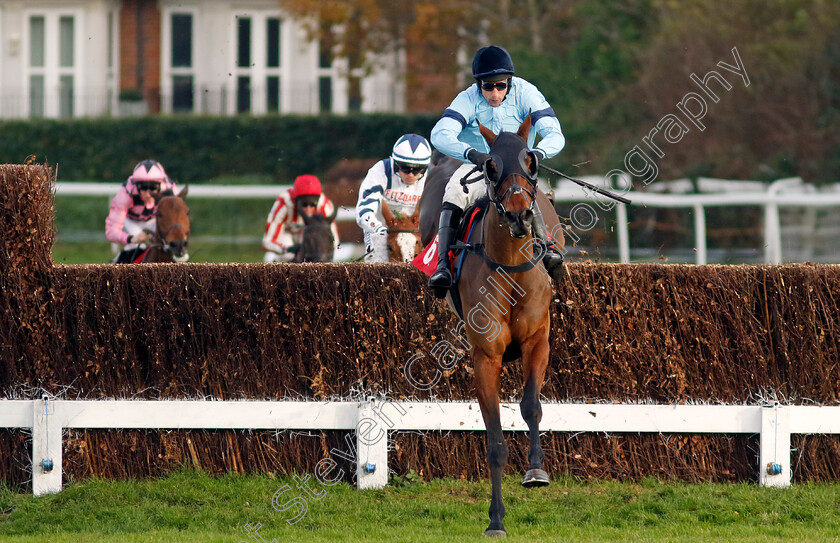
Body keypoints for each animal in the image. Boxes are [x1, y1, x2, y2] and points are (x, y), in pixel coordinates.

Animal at [420, 117, 564, 536]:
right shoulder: (486, 356)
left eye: (531, 161)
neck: (511, 267)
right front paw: (496, 518)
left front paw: (536, 471)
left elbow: (531, 406)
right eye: (491, 166)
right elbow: (495, 441)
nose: (519, 215)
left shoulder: (537, 342)